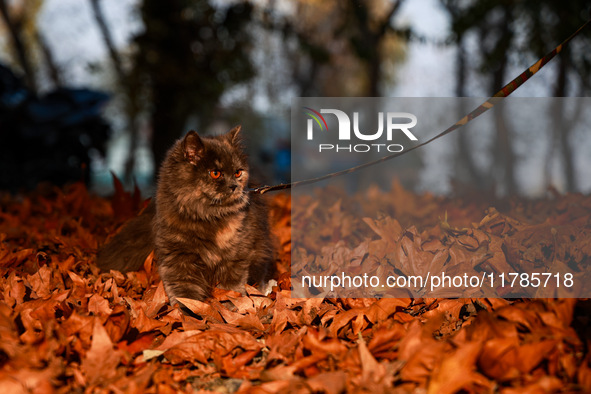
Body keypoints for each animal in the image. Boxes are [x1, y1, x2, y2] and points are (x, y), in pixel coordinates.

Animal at [97, 126, 276, 304]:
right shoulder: (179, 259)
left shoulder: (236, 257)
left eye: (238, 173)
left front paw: (231, 305)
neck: (208, 216)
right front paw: (188, 310)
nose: (234, 186)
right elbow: (184, 294)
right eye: (215, 173)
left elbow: (232, 289)